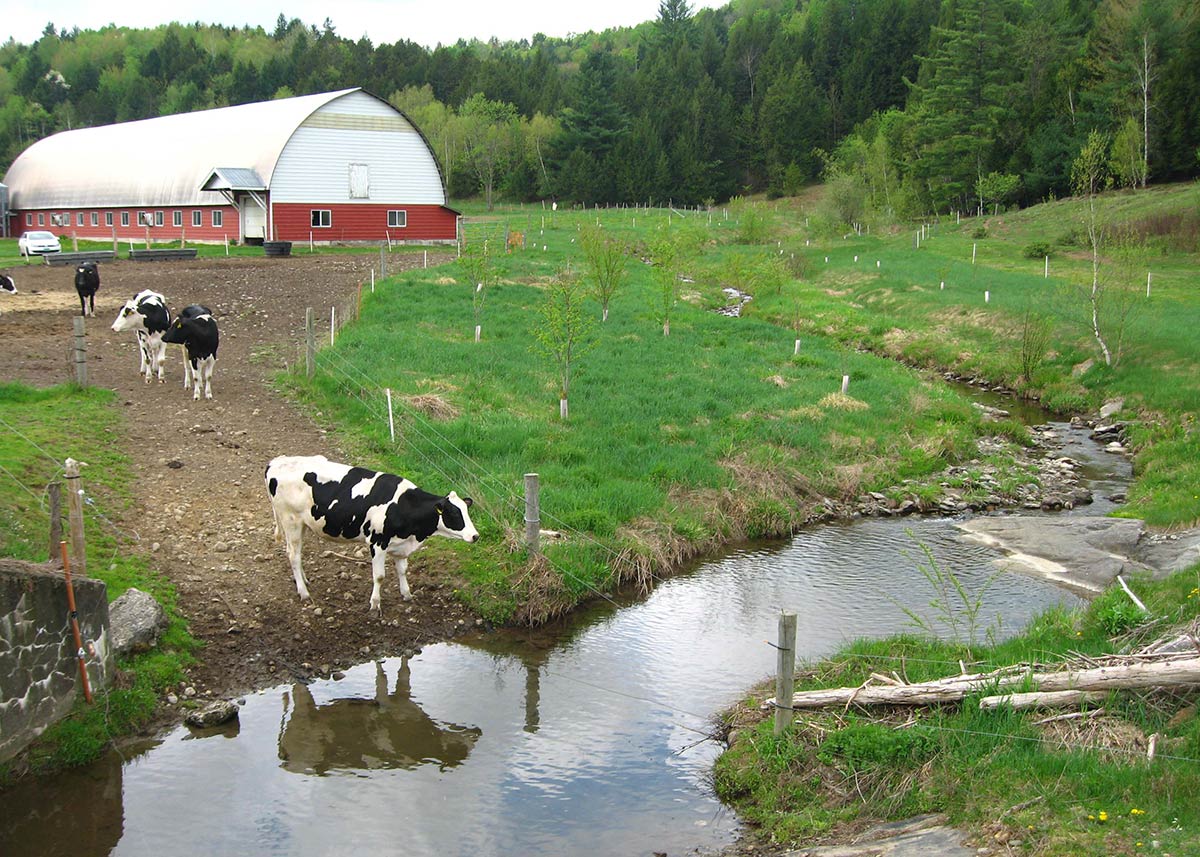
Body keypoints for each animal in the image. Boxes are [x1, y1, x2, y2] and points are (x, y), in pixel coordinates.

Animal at [264, 454, 480, 614]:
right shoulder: (377, 542)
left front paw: (407, 594)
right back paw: (303, 592)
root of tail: (275, 462)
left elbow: (402, 570)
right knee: (293, 555)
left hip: (302, 524)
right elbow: (379, 576)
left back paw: (303, 580)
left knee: (296, 553)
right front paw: (375, 604)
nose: (475, 536)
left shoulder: (400, 544)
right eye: (454, 513)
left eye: (467, 511)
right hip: (290, 520)